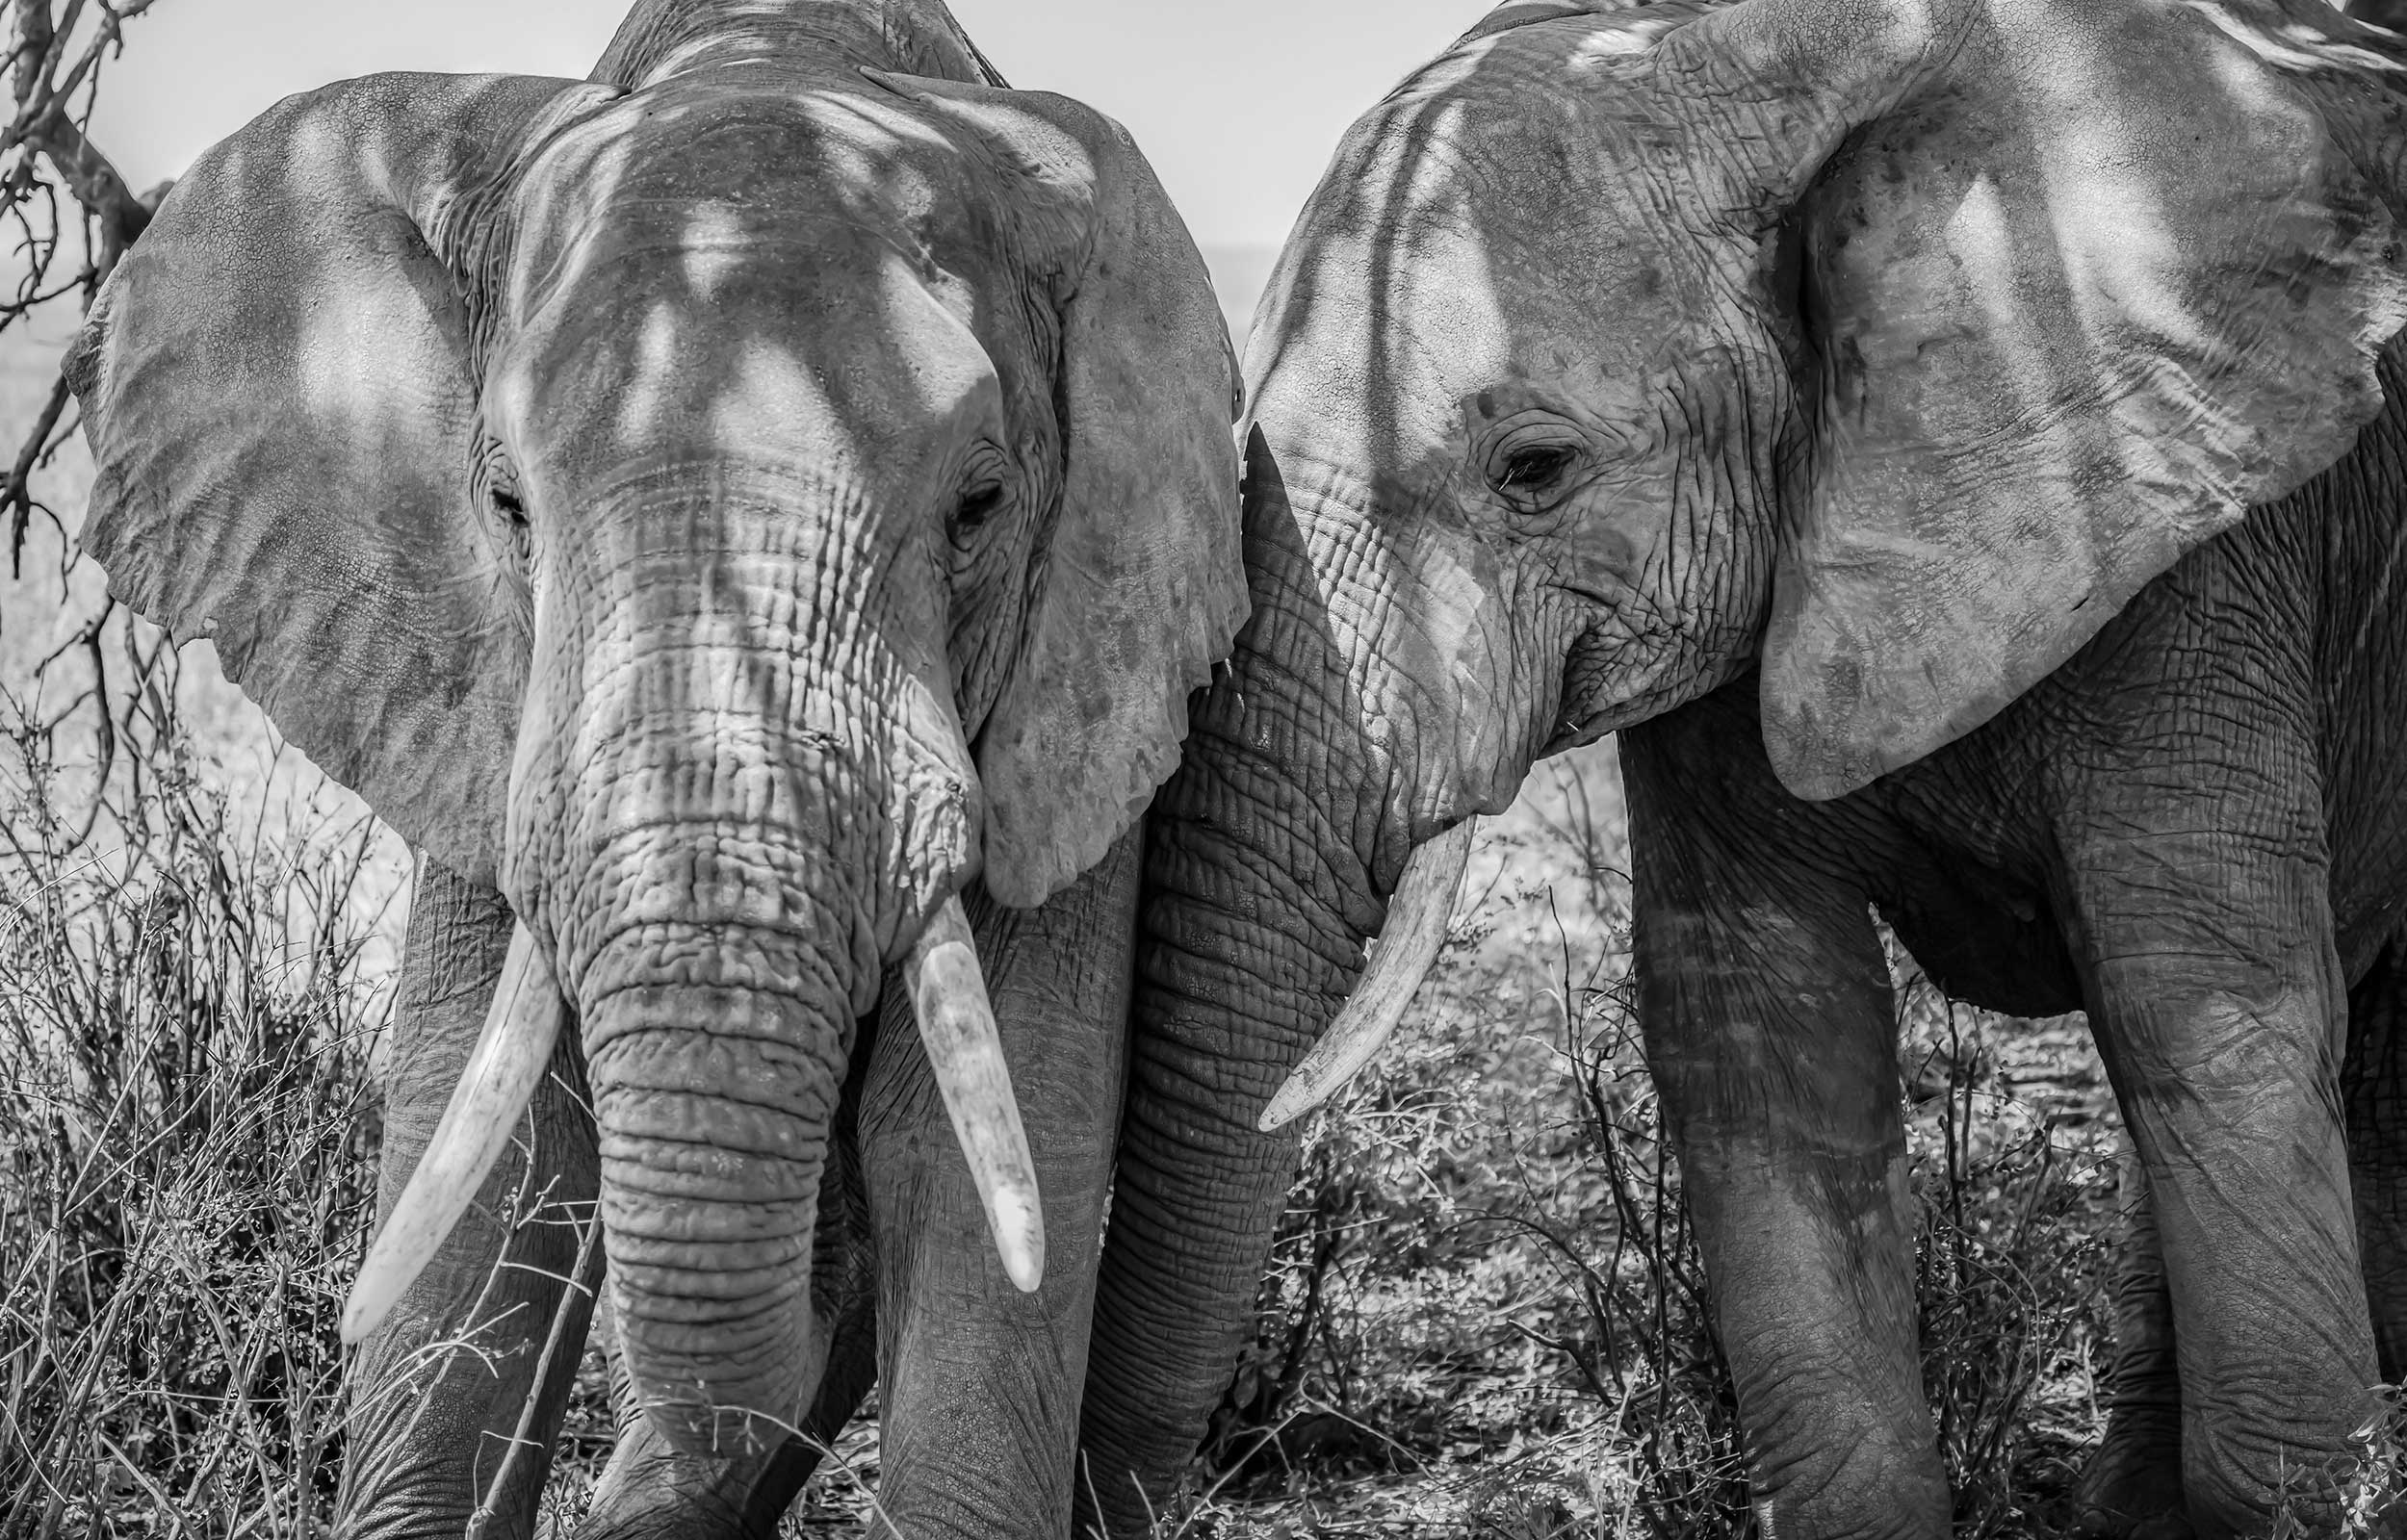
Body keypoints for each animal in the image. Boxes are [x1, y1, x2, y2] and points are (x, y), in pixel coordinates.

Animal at [67, 3, 1252, 1540]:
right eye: (507, 503)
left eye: (982, 506)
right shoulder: (479, 716)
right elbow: (490, 1164)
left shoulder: (1079, 691)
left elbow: (983, 1167)